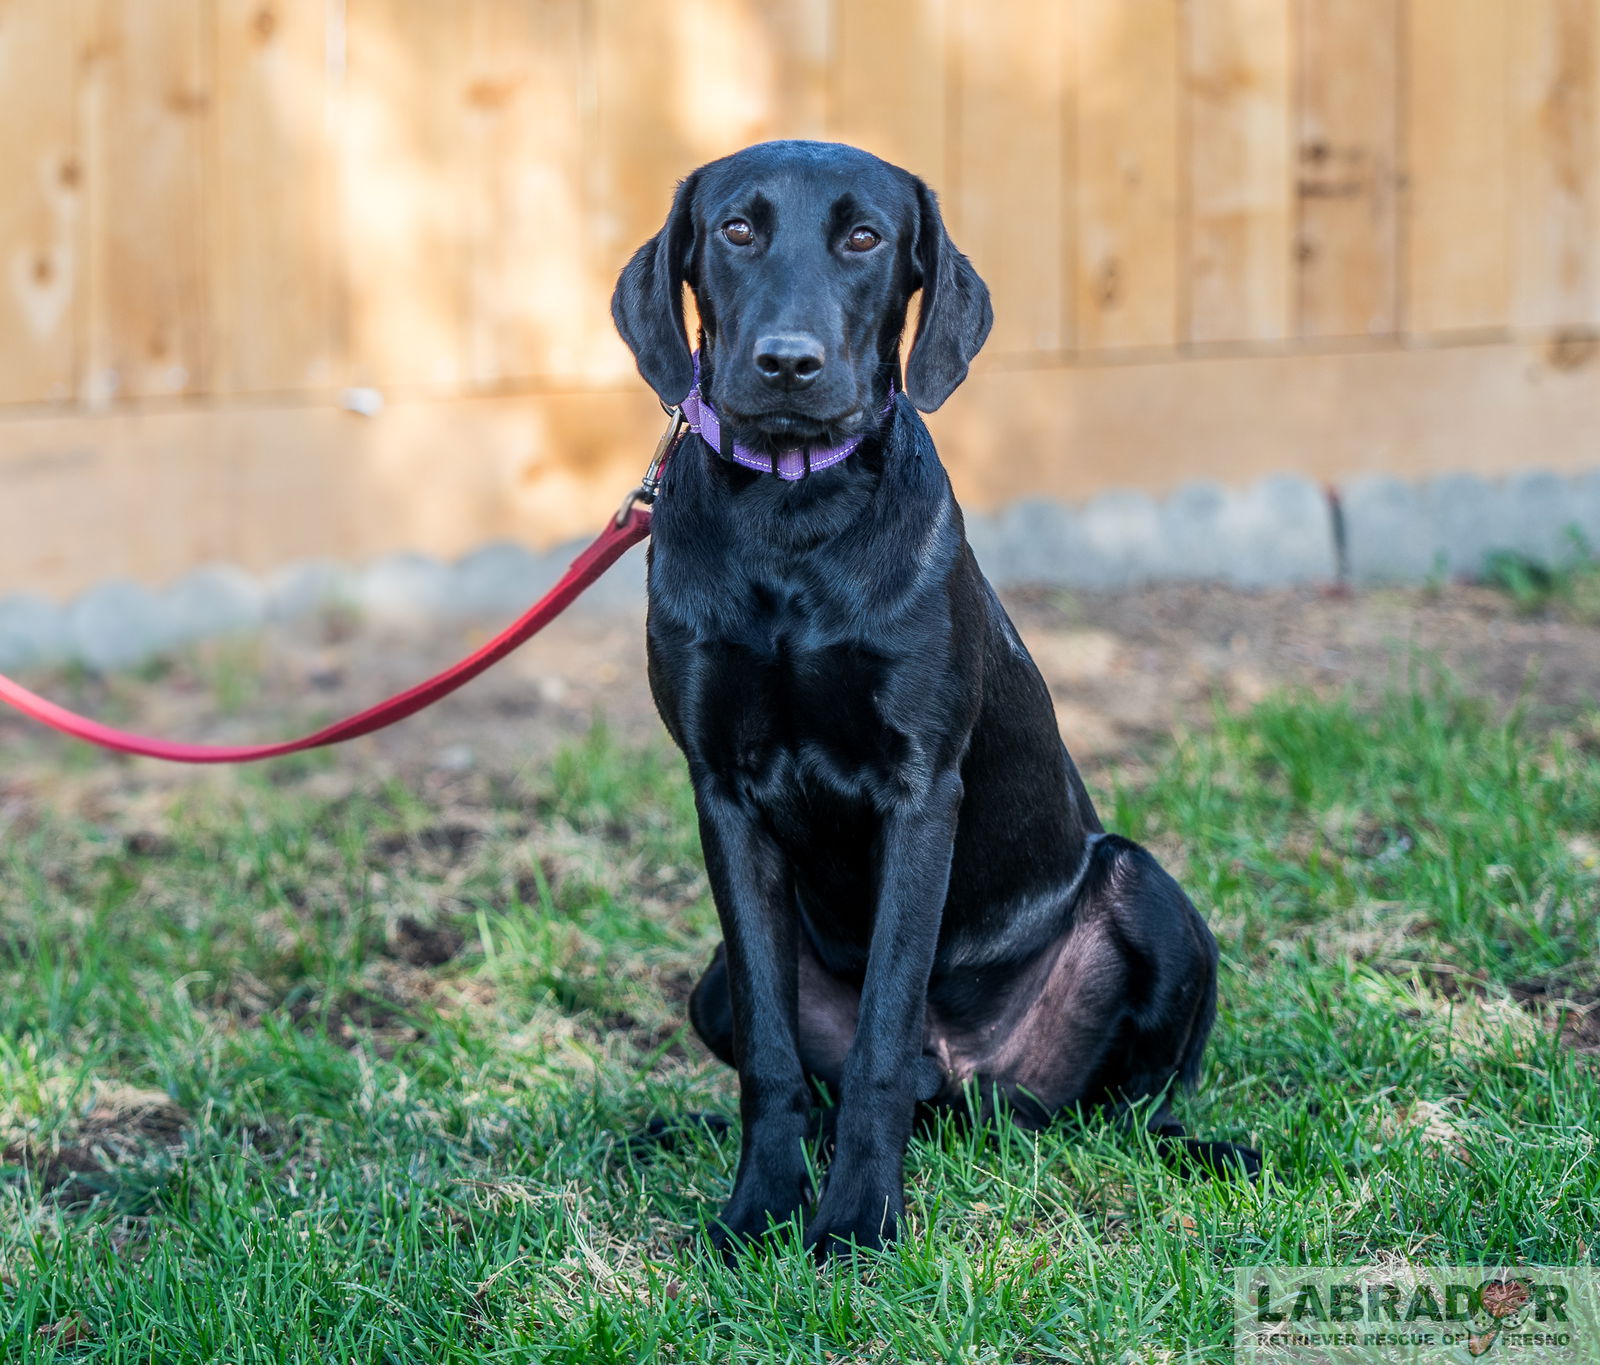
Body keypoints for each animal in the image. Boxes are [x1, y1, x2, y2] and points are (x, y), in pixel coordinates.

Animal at [608, 140, 1248, 1254]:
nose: (786, 362)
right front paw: (759, 1208)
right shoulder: (721, 791)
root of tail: (969, 1089)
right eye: (736, 229)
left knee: (1131, 1110)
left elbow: (879, 1036)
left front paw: (858, 1220)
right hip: (712, 982)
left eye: (865, 237)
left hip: (1144, 893)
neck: (794, 516)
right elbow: (774, 1056)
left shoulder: (919, 787)